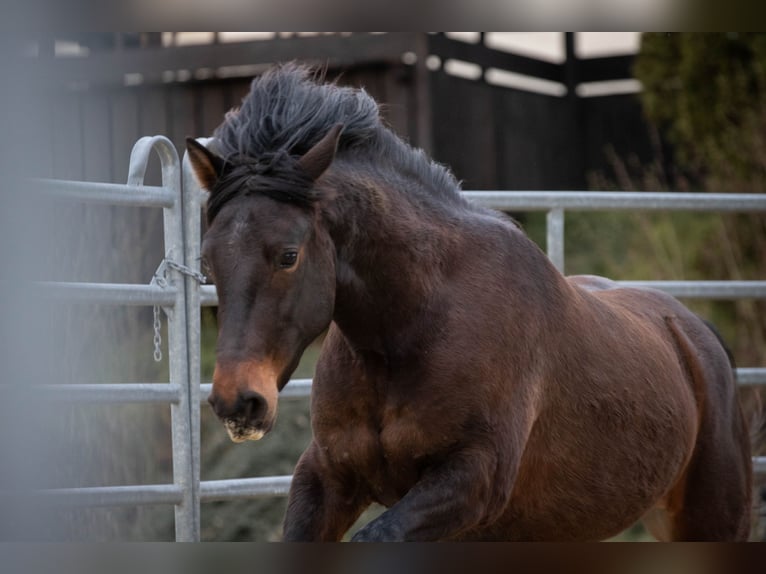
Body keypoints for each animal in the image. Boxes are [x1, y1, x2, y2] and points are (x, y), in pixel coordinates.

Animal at [188, 65, 756, 544]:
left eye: (288, 255)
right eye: (207, 261)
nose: (238, 402)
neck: (408, 332)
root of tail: (694, 333)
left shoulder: (473, 482)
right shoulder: (328, 475)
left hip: (710, 520)